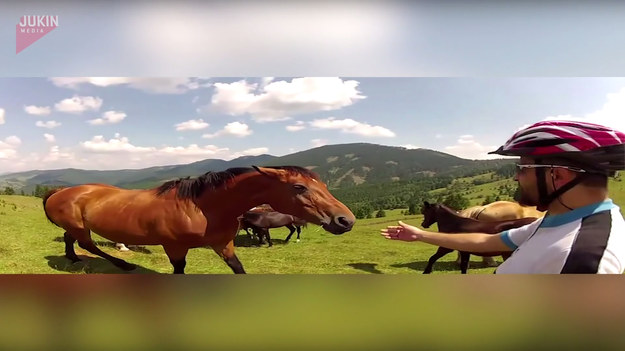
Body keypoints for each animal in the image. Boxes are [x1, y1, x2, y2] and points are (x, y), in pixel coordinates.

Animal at [42, 166, 356, 276]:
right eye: (299, 187)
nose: (346, 220)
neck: (202, 208)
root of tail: (61, 191)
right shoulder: (175, 248)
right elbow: (179, 271)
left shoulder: (224, 245)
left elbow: (238, 269)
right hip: (80, 226)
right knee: (89, 244)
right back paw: (123, 264)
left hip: (75, 225)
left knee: (72, 240)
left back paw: (73, 258)